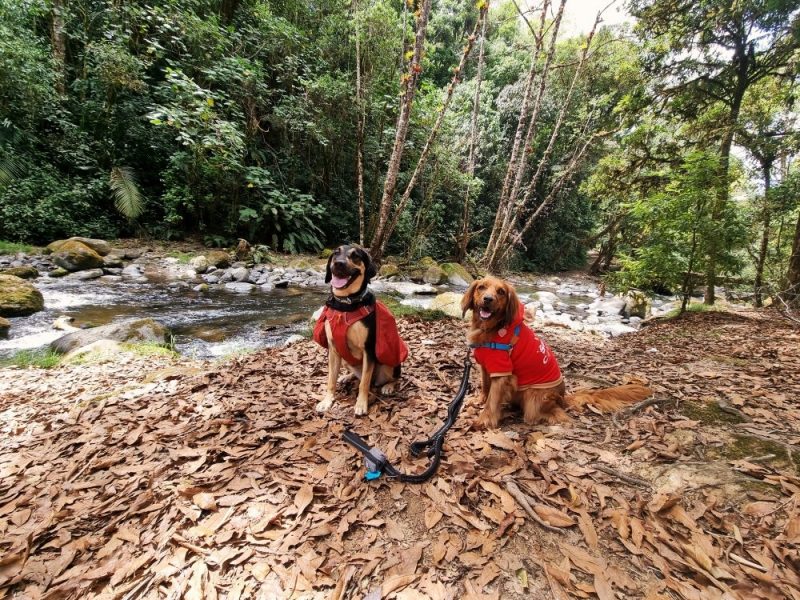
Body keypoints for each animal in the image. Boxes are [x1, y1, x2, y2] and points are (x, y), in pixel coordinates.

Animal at [312, 246, 410, 414]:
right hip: (345, 360)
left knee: (395, 377)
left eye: (356, 256)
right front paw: (327, 401)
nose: (338, 264)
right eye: (336, 253)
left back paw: (388, 386)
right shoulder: (333, 350)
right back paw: (346, 377)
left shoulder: (368, 350)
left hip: (389, 364)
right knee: (354, 374)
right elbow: (330, 380)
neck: (346, 304)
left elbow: (364, 382)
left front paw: (361, 404)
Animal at [462, 274, 648, 428]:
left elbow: (493, 400)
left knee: (552, 413)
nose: (488, 299)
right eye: (481, 287)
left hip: (534, 397)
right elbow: (486, 386)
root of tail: (563, 397)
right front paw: (479, 400)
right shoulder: (487, 367)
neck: (490, 329)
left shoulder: (502, 372)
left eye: (500, 291)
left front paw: (484, 420)